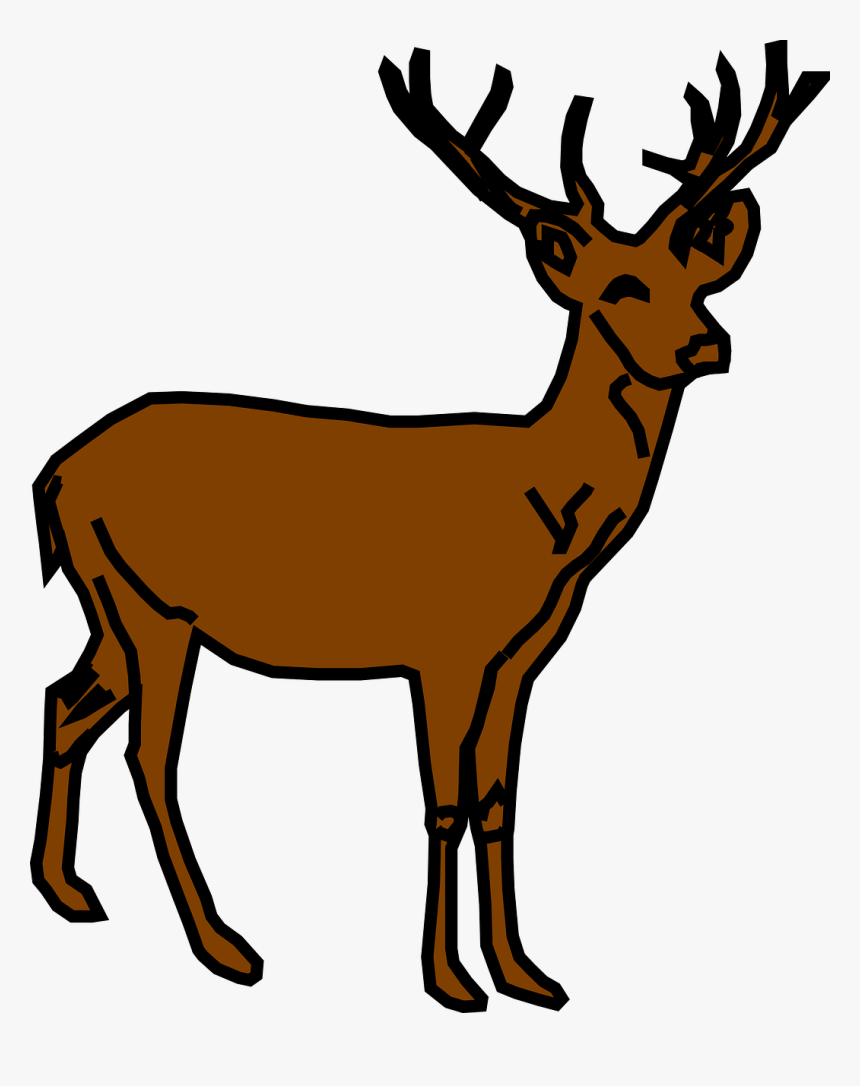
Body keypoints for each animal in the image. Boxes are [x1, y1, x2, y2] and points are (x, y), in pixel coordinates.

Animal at [31, 41, 828, 1012]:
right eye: (618, 289)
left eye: (697, 280)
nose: (705, 344)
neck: (549, 520)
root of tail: (54, 471)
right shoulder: (443, 645)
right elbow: (442, 801)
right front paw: (449, 981)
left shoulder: (520, 656)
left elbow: (500, 799)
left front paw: (527, 973)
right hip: (157, 608)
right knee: (150, 754)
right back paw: (227, 947)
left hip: (107, 603)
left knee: (65, 701)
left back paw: (68, 891)